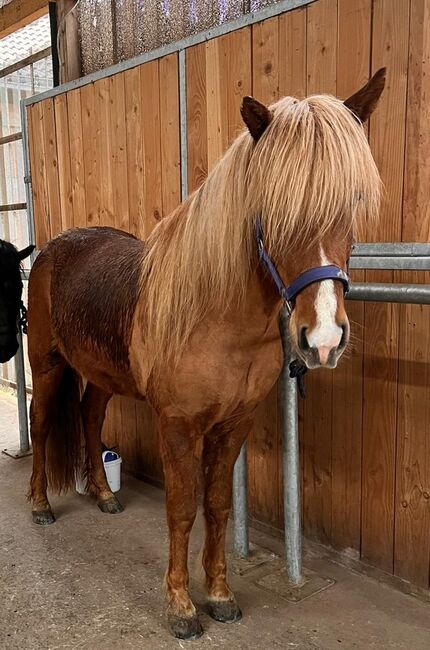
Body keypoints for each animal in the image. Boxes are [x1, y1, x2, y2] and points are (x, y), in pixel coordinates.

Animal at [28, 69, 384, 636]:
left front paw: (219, 594)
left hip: (102, 376)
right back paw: (40, 505)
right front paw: (180, 606)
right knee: (41, 427)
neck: (215, 317)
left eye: (352, 201)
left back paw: (104, 496)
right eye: (271, 209)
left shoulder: (234, 424)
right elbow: (181, 510)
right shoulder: (177, 425)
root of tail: (53, 248)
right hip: (46, 365)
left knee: (88, 417)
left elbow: (217, 506)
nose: (324, 338)